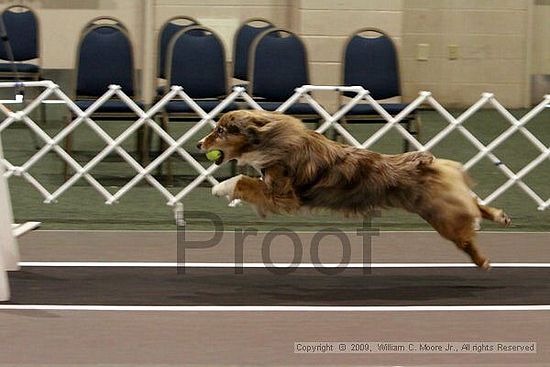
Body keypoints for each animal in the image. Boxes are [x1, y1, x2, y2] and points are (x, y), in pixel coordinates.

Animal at [198, 110, 512, 268]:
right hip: (437, 207)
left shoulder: (284, 195)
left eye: (220, 131)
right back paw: (500, 217)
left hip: (441, 215)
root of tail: (426, 163)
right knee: (472, 204)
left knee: (466, 228)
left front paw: (220, 188)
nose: (199, 144)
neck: (270, 139)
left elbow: (243, 181)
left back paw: (483, 260)